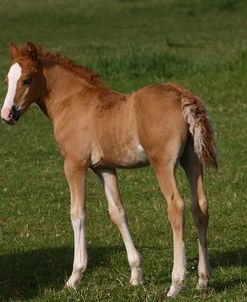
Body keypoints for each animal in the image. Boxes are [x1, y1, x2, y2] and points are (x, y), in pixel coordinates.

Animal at [0, 42, 217, 298]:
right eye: (7, 79)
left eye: (27, 79)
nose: (7, 114)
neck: (73, 103)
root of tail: (182, 95)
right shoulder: (104, 168)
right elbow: (117, 213)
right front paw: (136, 275)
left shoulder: (74, 164)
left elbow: (77, 213)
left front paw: (74, 277)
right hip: (191, 160)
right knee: (199, 206)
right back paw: (203, 280)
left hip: (163, 164)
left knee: (176, 207)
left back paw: (176, 283)